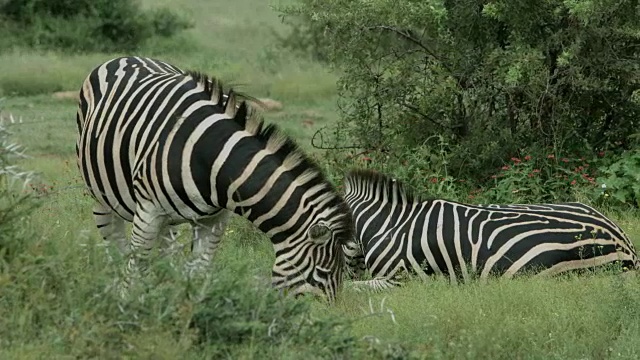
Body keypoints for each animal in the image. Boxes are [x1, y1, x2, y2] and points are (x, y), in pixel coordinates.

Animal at [78, 56, 356, 300]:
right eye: (321, 273)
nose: (327, 312)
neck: (213, 160)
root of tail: (127, 57)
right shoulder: (148, 211)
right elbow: (136, 266)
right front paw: (128, 306)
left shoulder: (214, 219)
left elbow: (198, 272)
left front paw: (186, 311)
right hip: (103, 195)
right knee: (115, 244)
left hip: (167, 218)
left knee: (165, 248)